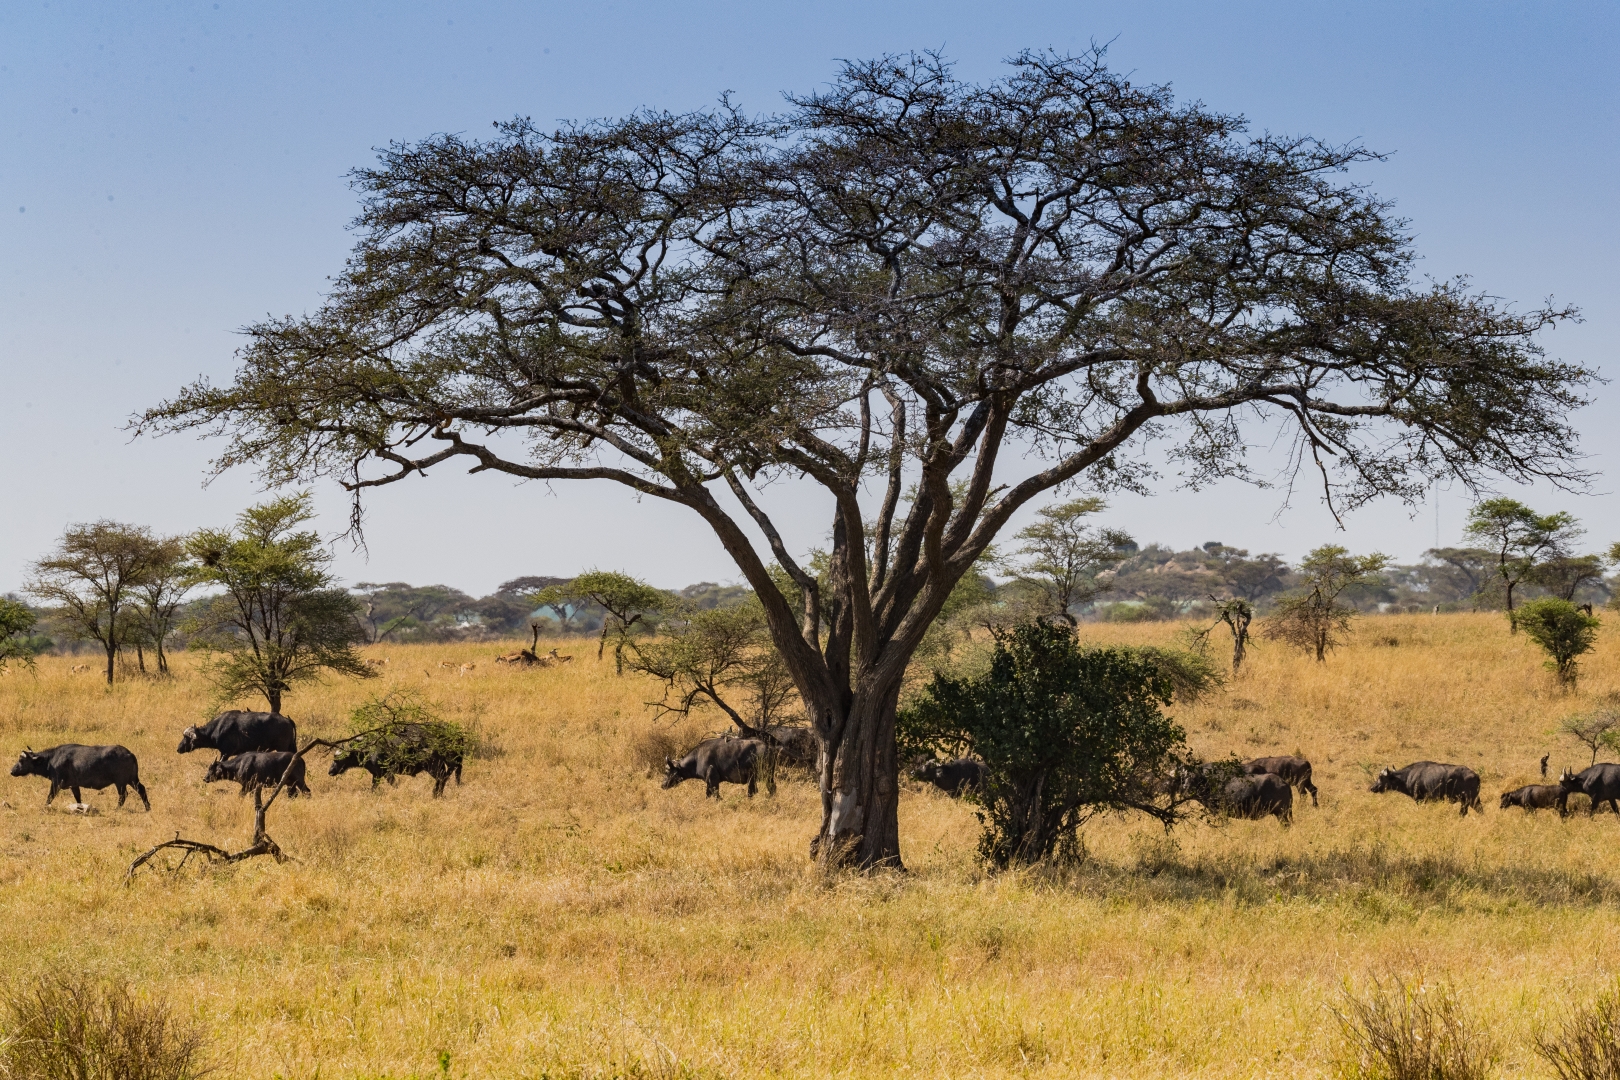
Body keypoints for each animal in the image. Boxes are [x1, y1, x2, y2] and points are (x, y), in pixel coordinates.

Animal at [9, 744, 149, 809]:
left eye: (21, 760)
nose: (12, 771)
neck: (51, 760)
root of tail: (130, 754)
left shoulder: (56, 783)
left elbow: (50, 796)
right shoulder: (74, 785)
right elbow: (78, 798)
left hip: (121, 782)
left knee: (123, 795)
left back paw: (117, 809)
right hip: (132, 780)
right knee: (142, 789)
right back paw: (147, 807)